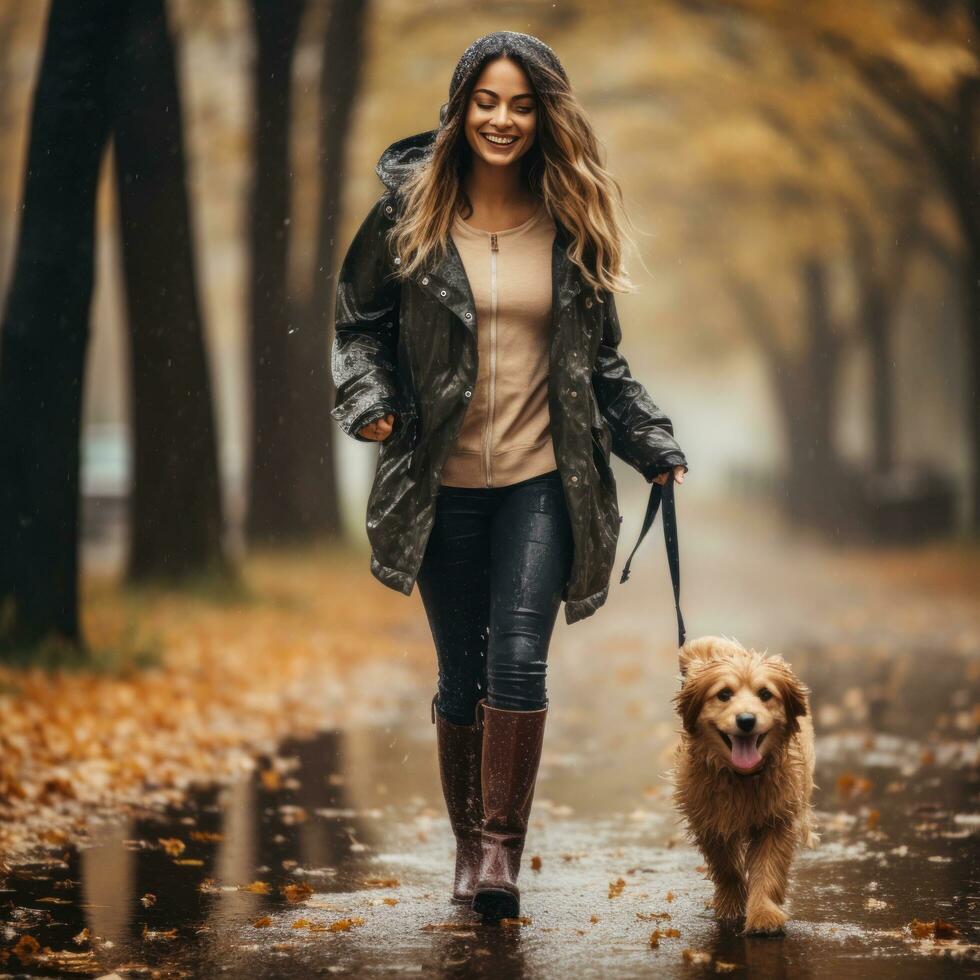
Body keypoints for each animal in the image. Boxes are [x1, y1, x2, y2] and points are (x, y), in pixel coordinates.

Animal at [668, 636, 816, 936]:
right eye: (724, 694)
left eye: (765, 694)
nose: (746, 720)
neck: (742, 777)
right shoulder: (710, 821)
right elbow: (726, 865)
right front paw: (732, 903)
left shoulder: (777, 819)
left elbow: (768, 868)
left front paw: (763, 913)